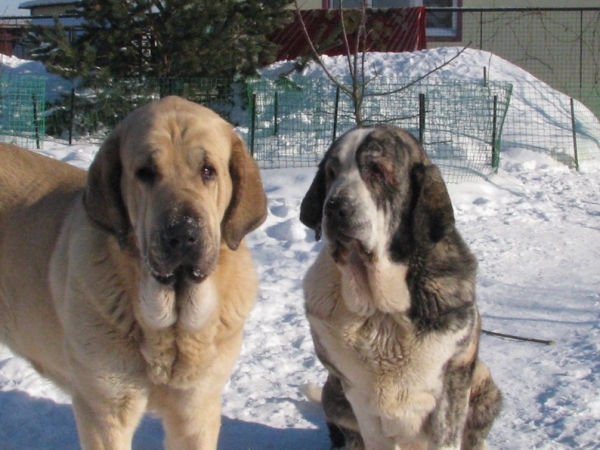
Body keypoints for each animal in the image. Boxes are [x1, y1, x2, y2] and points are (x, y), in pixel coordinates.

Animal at [0, 96, 268, 450]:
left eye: (208, 170)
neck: (170, 332)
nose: (183, 233)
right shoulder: (106, 412)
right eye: (145, 173)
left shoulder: (197, 411)